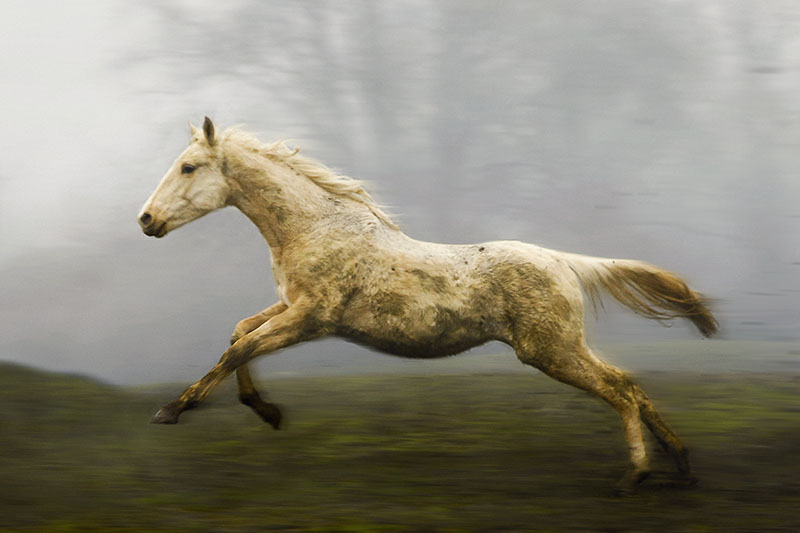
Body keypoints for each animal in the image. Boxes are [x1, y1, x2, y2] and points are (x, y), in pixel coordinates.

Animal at [138, 116, 720, 490]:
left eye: (188, 167)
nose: (146, 220)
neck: (316, 229)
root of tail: (562, 261)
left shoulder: (312, 318)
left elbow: (239, 349)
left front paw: (173, 410)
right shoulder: (291, 309)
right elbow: (240, 333)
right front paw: (266, 411)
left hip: (550, 350)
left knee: (619, 391)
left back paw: (637, 474)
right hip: (561, 347)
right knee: (629, 383)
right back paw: (682, 462)